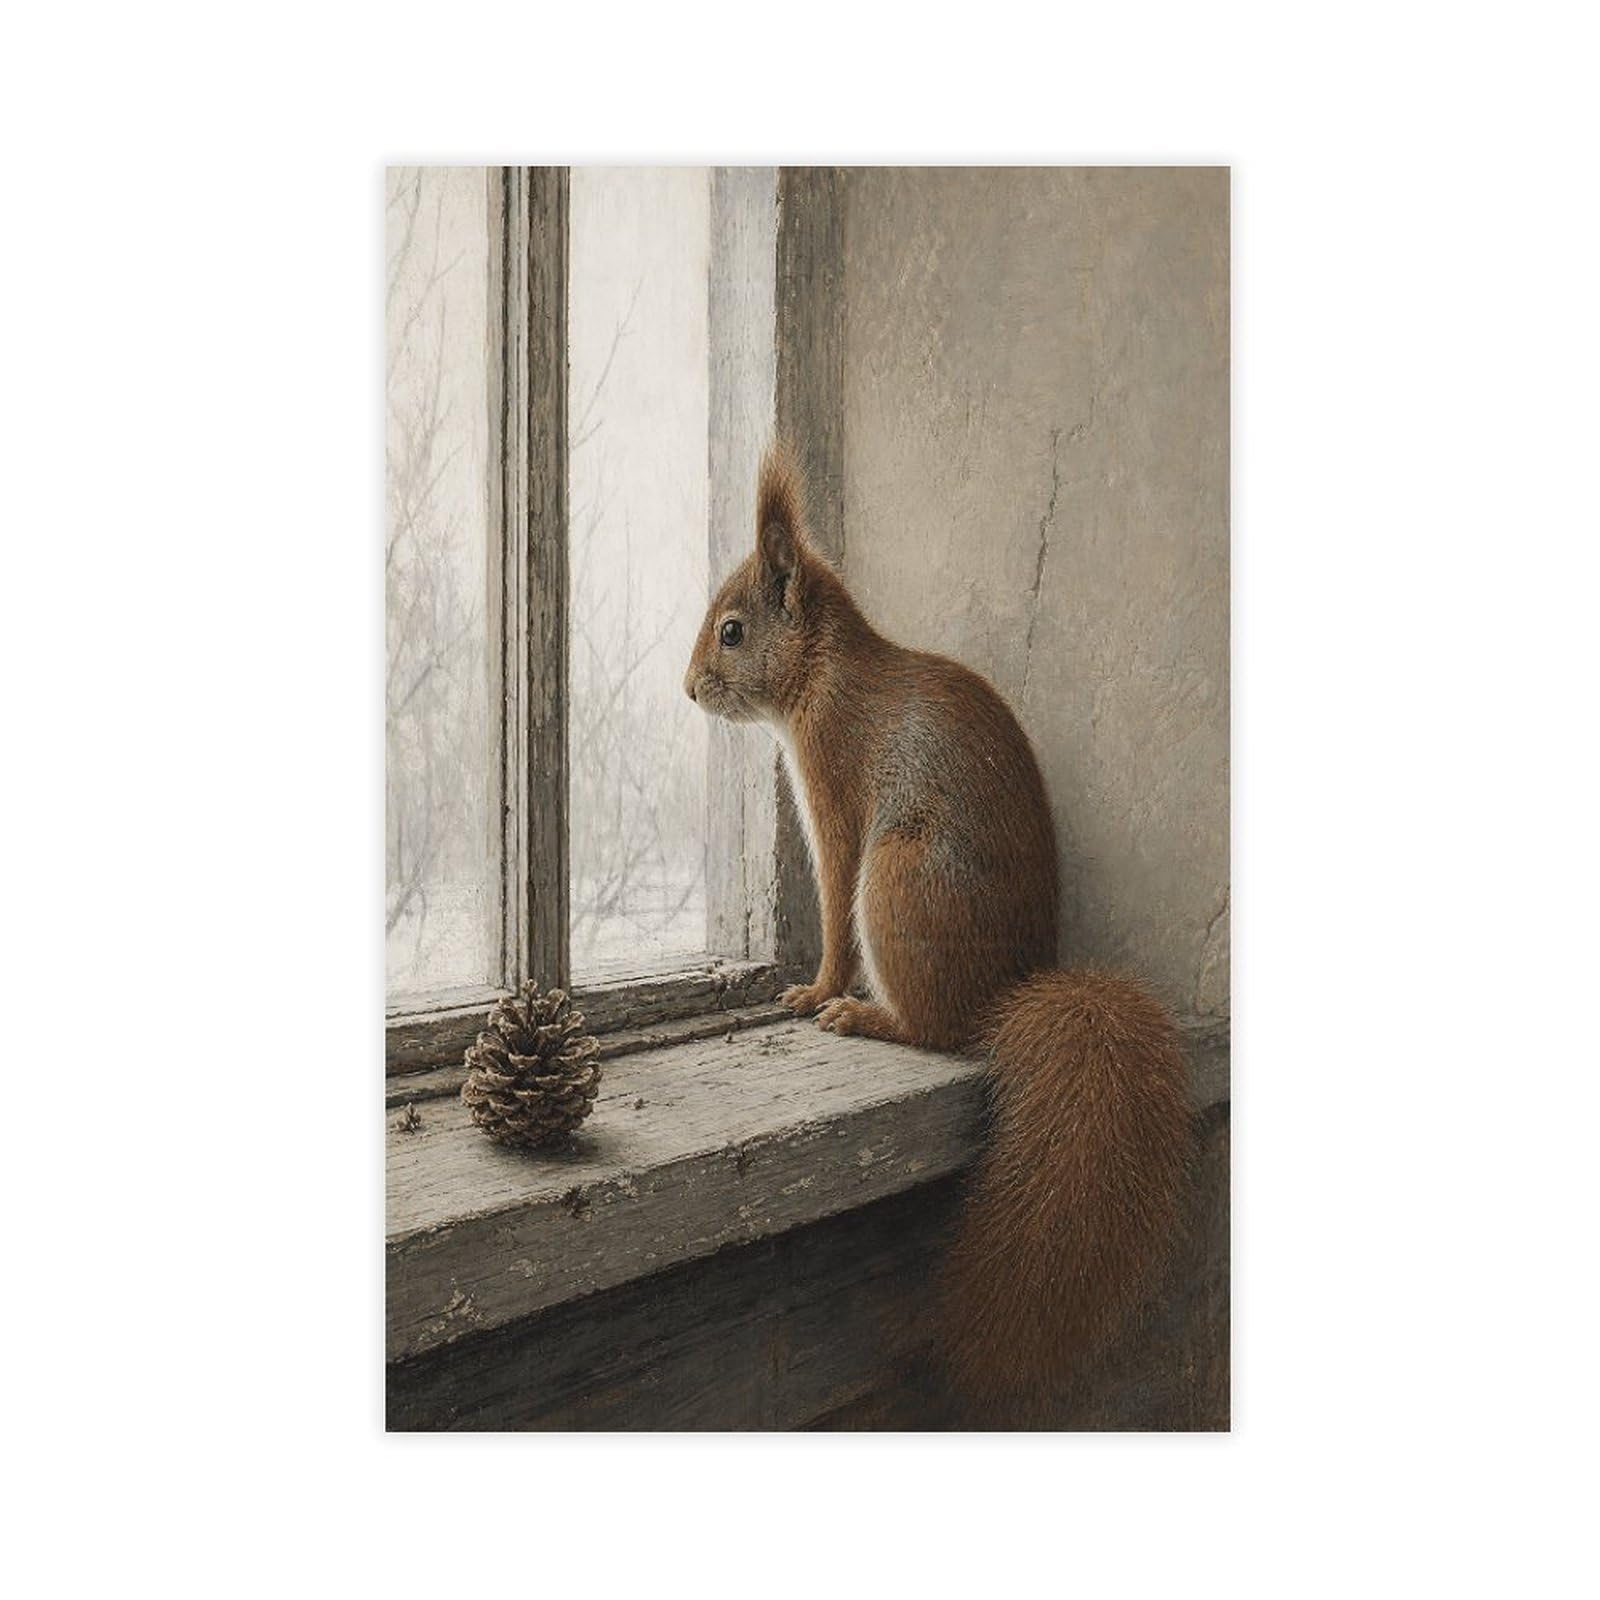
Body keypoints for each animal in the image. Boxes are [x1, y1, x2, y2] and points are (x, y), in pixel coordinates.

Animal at [683, 443, 1193, 1414]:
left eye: (732, 631)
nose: (688, 690)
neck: (823, 671)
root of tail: (1012, 991)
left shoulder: (835, 785)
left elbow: (831, 901)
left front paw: (816, 987)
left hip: (898, 881)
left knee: (938, 1030)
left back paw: (867, 1015)